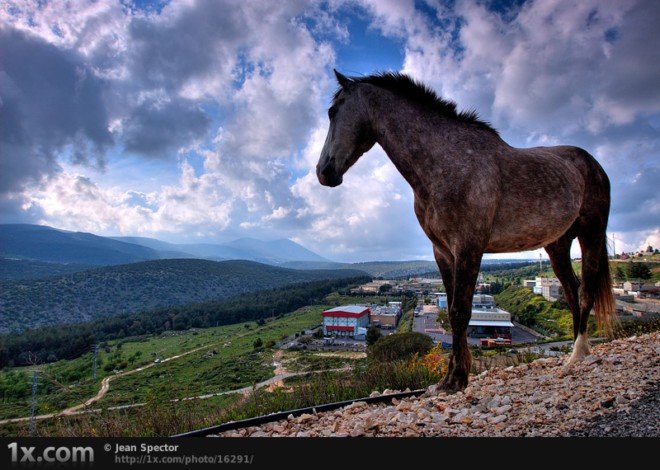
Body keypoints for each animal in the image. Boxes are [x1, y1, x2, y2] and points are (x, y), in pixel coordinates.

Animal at [318, 70, 616, 392]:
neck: (446, 164)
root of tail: (593, 164)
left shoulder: (469, 247)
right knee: (572, 292)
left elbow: (462, 311)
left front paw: (458, 379)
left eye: (333, 112)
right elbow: (451, 312)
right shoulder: (443, 252)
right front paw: (448, 379)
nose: (323, 172)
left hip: (591, 233)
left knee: (585, 292)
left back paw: (578, 354)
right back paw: (575, 352)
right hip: (557, 244)